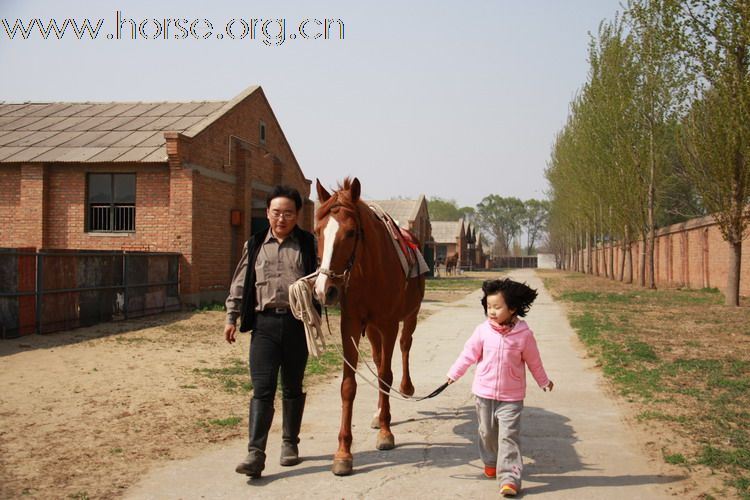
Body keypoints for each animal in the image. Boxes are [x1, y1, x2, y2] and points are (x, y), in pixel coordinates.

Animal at [314, 177, 426, 476]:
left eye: (351, 232)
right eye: (317, 231)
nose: (324, 290)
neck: (368, 270)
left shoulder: (388, 325)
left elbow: (386, 375)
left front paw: (386, 434)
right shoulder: (351, 325)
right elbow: (348, 385)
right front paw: (343, 453)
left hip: (408, 317)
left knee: (404, 348)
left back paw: (406, 388)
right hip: (372, 330)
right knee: (377, 361)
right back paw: (377, 414)